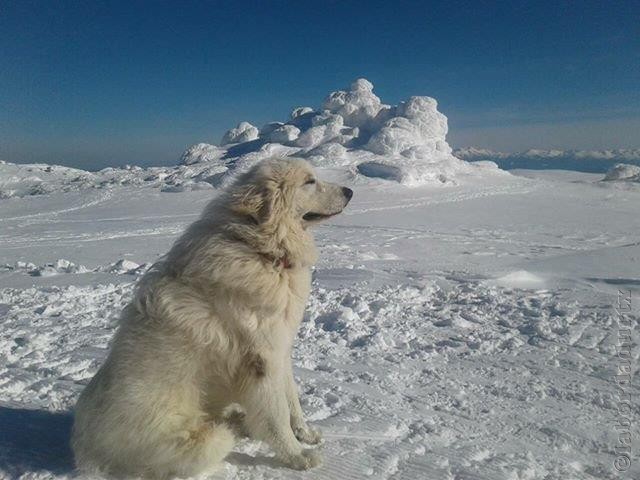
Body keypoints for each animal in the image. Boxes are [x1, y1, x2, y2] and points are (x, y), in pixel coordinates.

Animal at [72, 158, 352, 476]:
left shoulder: (281, 350)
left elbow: (292, 400)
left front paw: (304, 433)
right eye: (309, 181)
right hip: (202, 443)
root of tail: (84, 449)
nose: (350, 191)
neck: (261, 250)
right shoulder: (262, 360)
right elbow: (277, 415)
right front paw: (296, 456)